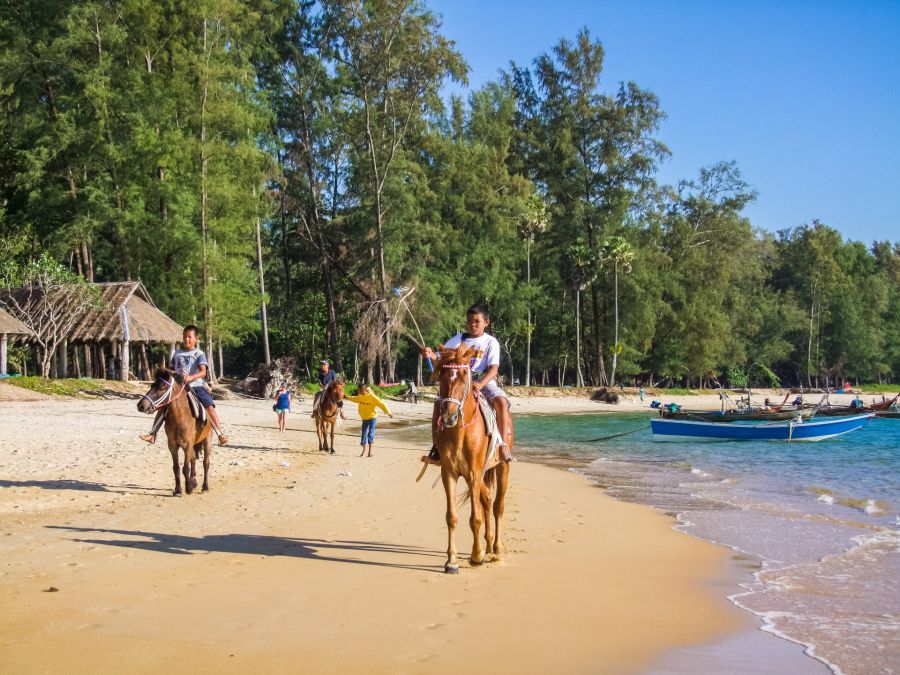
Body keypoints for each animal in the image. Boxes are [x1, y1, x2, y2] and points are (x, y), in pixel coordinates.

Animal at [433, 344, 510, 573]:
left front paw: (476, 556)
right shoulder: (449, 472)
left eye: (464, 376)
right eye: (442, 376)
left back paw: (497, 549)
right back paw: (489, 544)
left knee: (498, 505)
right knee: (487, 500)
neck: (460, 430)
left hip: (502, 468)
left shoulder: (474, 473)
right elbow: (451, 517)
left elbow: (475, 518)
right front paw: (451, 561)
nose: (448, 416)